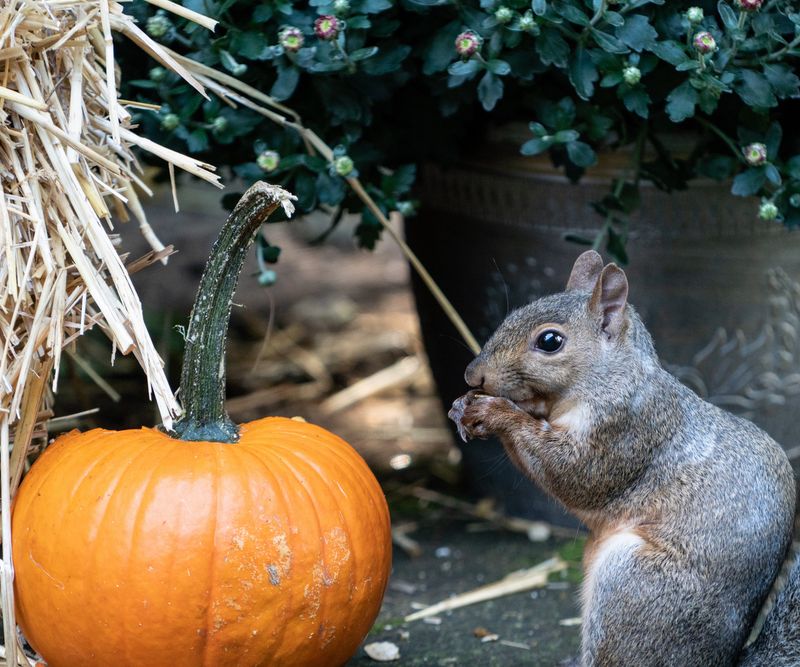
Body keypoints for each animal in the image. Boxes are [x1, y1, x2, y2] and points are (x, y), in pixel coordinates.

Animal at [448, 250, 799, 667]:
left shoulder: (624, 432)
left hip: (632, 583)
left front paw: (495, 412)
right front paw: (463, 406)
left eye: (550, 341)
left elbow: (572, 474)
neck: (612, 376)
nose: (473, 375)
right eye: (515, 312)